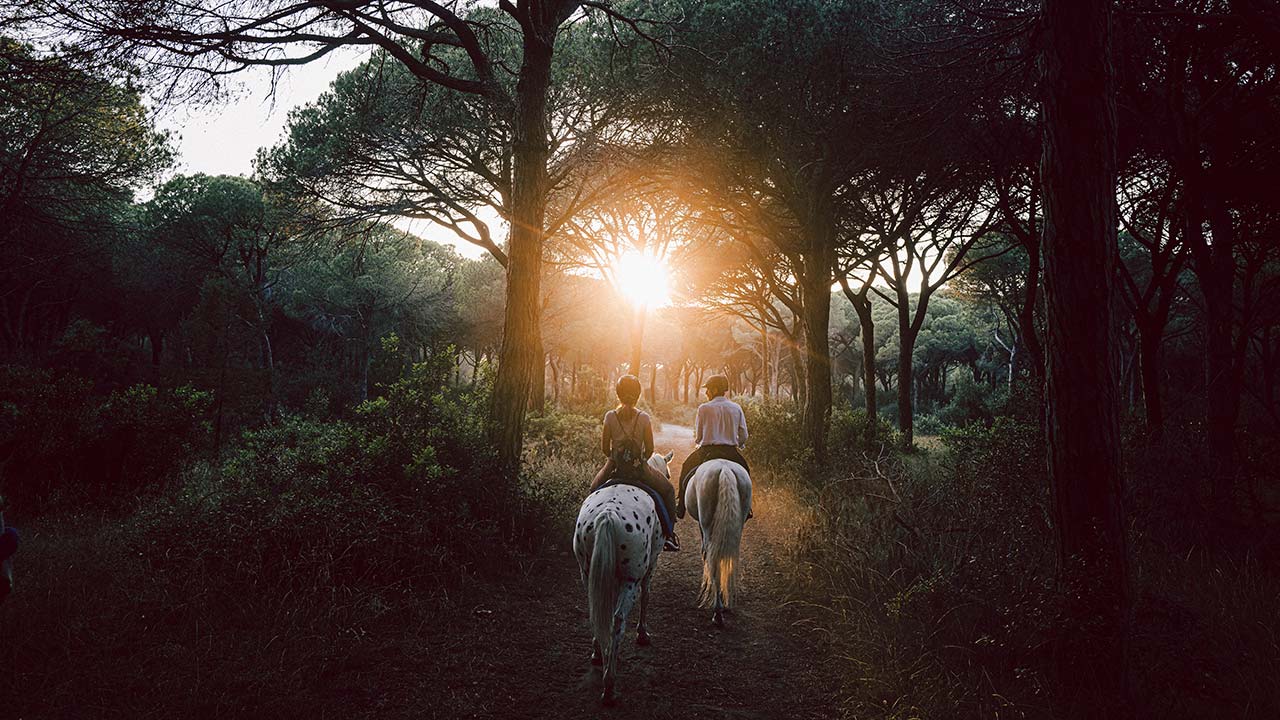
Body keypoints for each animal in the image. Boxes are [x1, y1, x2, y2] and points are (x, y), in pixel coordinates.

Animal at [573, 448, 675, 702]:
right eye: (668, 474)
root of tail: (608, 514)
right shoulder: (651, 564)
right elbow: (647, 595)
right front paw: (642, 633)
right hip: (630, 580)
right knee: (618, 621)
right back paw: (609, 684)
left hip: (588, 572)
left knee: (597, 612)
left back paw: (598, 655)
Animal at [691, 458, 747, 622]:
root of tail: (724, 469)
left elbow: (705, 554)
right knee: (729, 559)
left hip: (707, 523)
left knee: (713, 559)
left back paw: (717, 611)